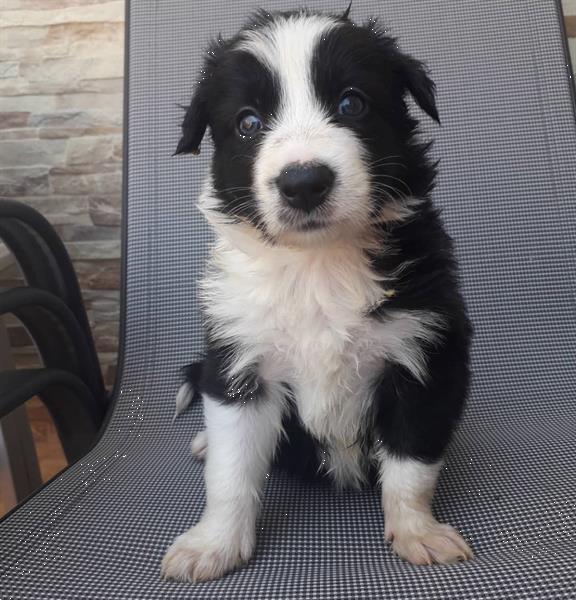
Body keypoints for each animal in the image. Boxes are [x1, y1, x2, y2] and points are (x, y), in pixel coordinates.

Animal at [160, 7, 470, 584]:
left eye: (352, 103)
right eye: (248, 122)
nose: (303, 182)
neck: (317, 264)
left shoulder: (426, 355)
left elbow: (411, 463)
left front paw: (418, 532)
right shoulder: (241, 364)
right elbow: (231, 471)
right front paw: (214, 544)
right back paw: (203, 443)